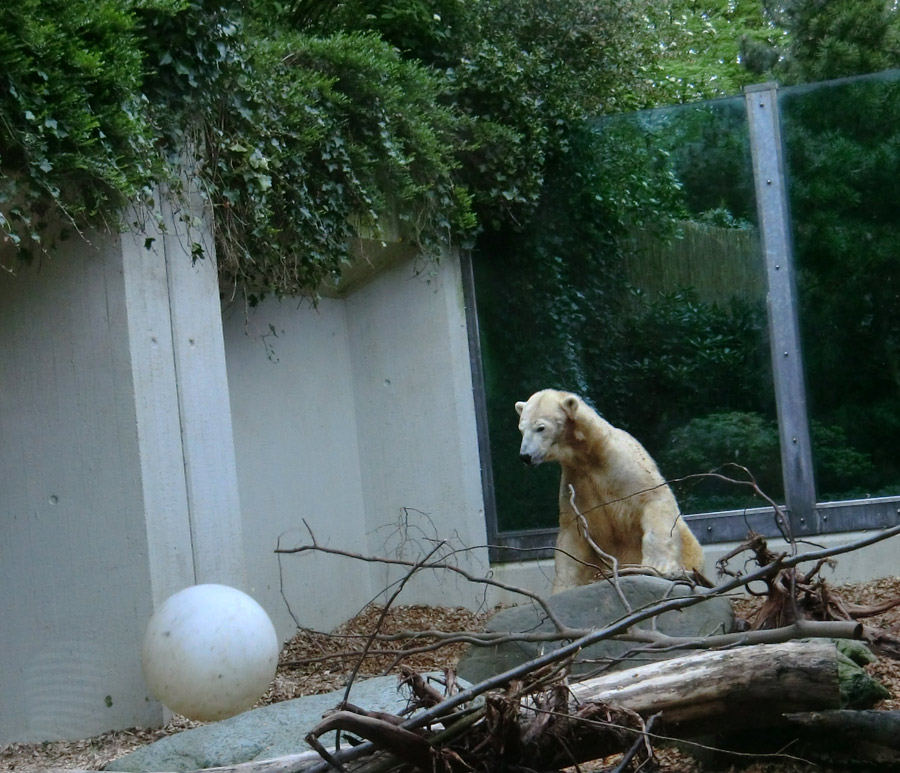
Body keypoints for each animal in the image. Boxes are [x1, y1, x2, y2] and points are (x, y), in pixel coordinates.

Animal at [512, 390, 704, 596]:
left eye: (540, 428)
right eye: (521, 429)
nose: (525, 456)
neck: (590, 454)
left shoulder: (622, 464)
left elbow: (653, 500)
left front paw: (658, 566)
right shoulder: (577, 481)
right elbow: (572, 534)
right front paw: (563, 587)